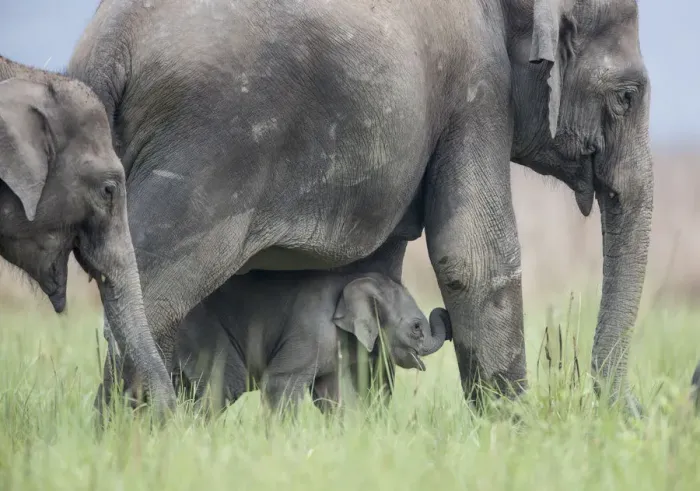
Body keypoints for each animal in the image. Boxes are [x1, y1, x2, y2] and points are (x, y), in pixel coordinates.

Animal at [172, 270, 451, 416]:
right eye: (416, 328)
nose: (444, 312)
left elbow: (333, 395)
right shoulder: (312, 332)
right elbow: (279, 384)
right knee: (225, 386)